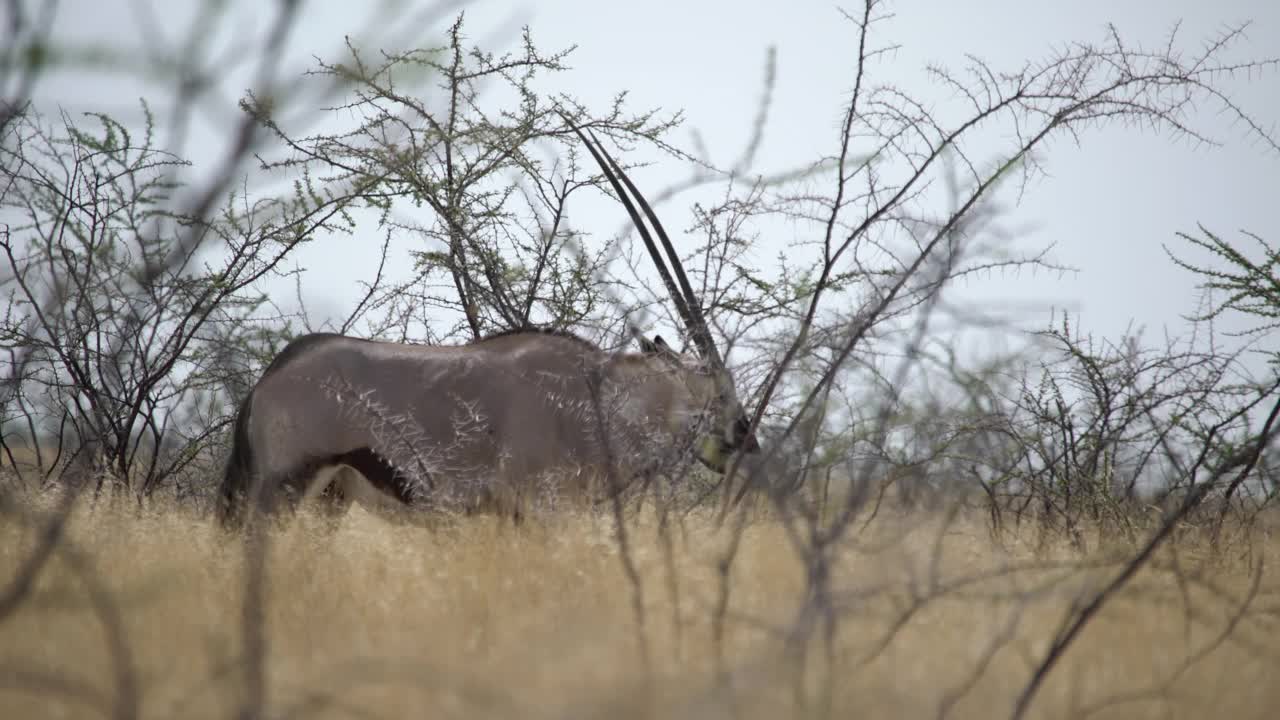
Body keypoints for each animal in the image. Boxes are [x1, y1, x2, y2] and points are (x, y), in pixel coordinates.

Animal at [220, 122, 757, 525]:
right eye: (719, 391)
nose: (745, 442)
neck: (598, 396)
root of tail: (270, 378)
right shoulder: (542, 512)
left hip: (329, 503)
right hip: (283, 493)